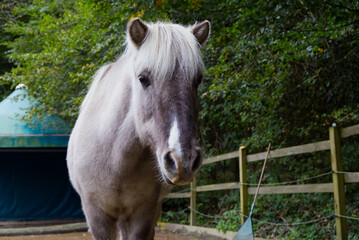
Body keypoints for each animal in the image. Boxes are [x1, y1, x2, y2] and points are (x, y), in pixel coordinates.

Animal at [67, 18, 211, 240]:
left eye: (198, 80)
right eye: (143, 79)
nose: (183, 160)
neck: (116, 163)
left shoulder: (143, 213)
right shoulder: (96, 214)